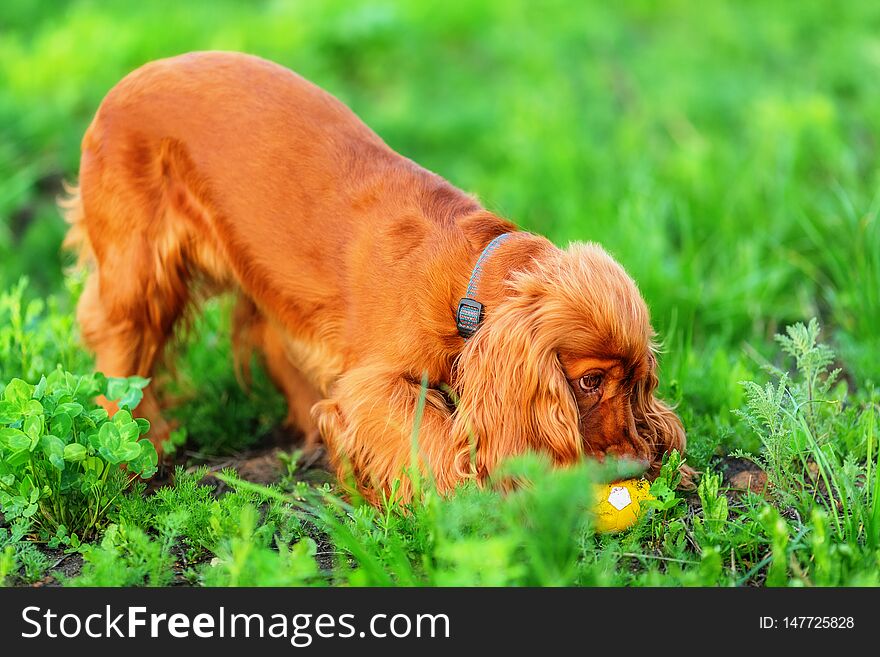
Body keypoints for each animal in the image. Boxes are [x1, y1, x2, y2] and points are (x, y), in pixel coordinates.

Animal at [65, 51, 692, 502]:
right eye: (588, 382)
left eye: (640, 383)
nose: (638, 461)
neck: (466, 283)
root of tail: (125, 82)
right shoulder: (375, 385)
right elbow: (426, 434)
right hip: (138, 273)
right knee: (119, 354)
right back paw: (140, 450)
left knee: (272, 339)